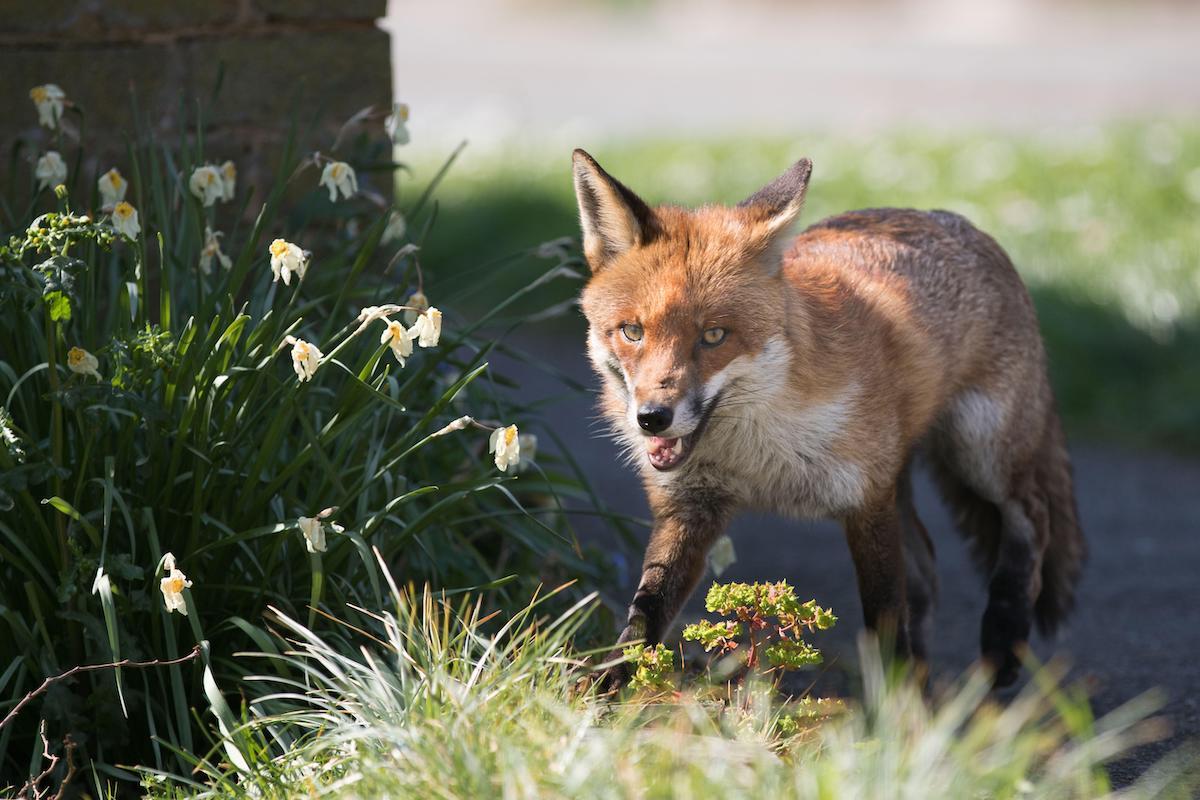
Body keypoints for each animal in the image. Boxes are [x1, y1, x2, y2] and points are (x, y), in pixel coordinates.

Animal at [576, 148, 1094, 690]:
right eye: (632, 332)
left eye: (714, 336)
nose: (652, 419)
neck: (760, 458)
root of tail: (956, 222)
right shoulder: (690, 509)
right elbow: (643, 619)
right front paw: (604, 694)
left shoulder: (866, 503)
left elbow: (884, 619)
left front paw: (894, 705)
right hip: (910, 477)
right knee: (928, 569)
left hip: (979, 451)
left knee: (1032, 516)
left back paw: (1003, 640)